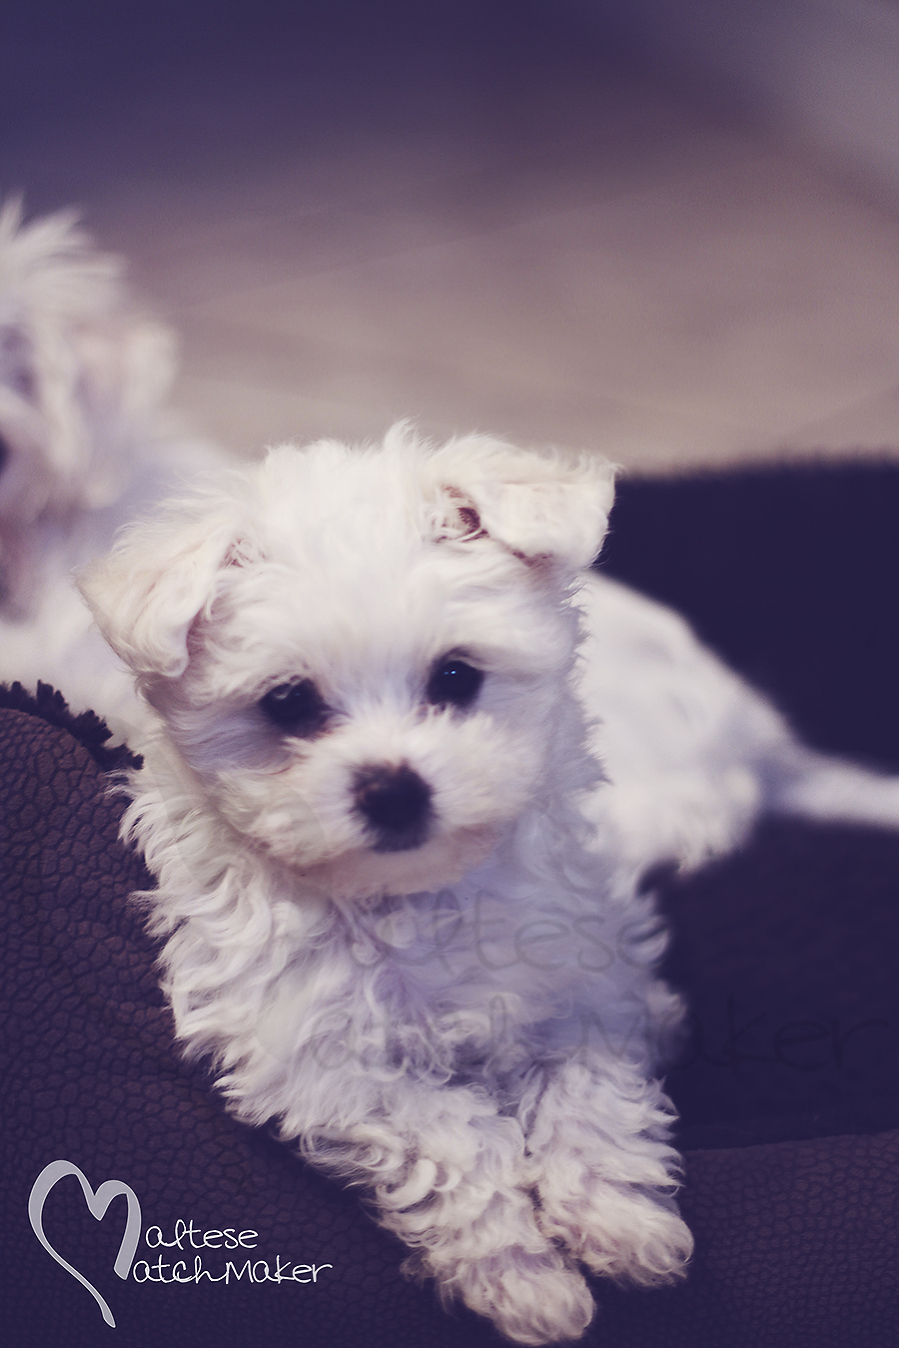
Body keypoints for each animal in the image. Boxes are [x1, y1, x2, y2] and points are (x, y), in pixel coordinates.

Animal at [75, 425, 899, 1342]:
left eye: (455, 677)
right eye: (287, 703)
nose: (393, 788)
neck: (415, 899)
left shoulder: (593, 986)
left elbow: (587, 1097)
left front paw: (621, 1224)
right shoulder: (318, 1064)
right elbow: (452, 1140)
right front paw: (526, 1280)